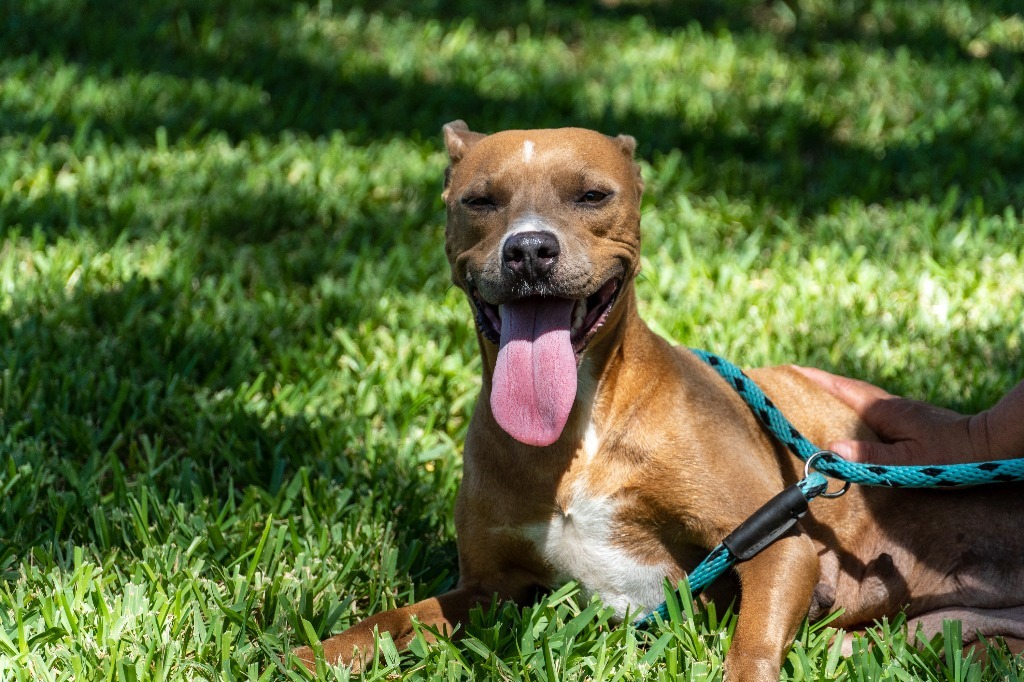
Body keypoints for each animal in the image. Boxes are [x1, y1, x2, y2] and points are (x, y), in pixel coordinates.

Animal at [294, 124, 1024, 675]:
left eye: (592, 195)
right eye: (480, 200)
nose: (528, 249)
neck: (580, 432)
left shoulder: (776, 545)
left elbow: (749, 651)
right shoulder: (490, 587)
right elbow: (393, 618)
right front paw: (311, 653)